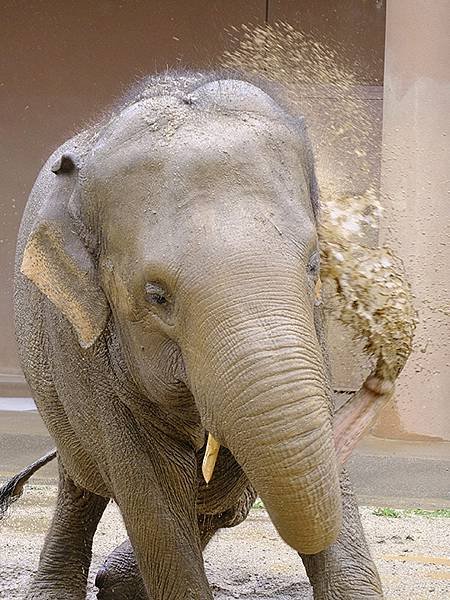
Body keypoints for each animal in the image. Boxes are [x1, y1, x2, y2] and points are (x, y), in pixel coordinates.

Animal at [12, 72, 390, 596]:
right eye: (156, 296)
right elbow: (154, 505)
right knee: (81, 481)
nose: (377, 383)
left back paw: (119, 579)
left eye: (315, 263)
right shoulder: (88, 358)